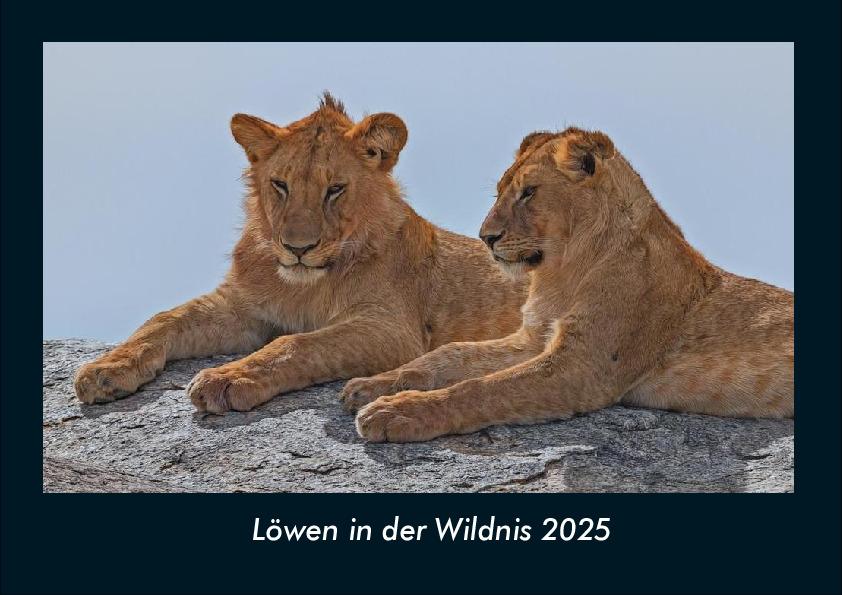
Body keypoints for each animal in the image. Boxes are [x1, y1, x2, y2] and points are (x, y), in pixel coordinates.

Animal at [74, 94, 527, 413]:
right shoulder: (241, 307)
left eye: (335, 189)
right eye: (280, 184)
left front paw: (227, 379)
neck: (304, 285)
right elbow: (164, 319)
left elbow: (295, 344)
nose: (298, 248)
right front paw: (106, 369)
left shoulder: (393, 329)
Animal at [345, 127, 794, 442]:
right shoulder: (532, 339)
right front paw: (372, 385)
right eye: (499, 191)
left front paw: (396, 412)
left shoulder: (583, 367)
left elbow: (481, 389)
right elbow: (448, 355)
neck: (562, 272)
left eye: (529, 192)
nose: (485, 237)